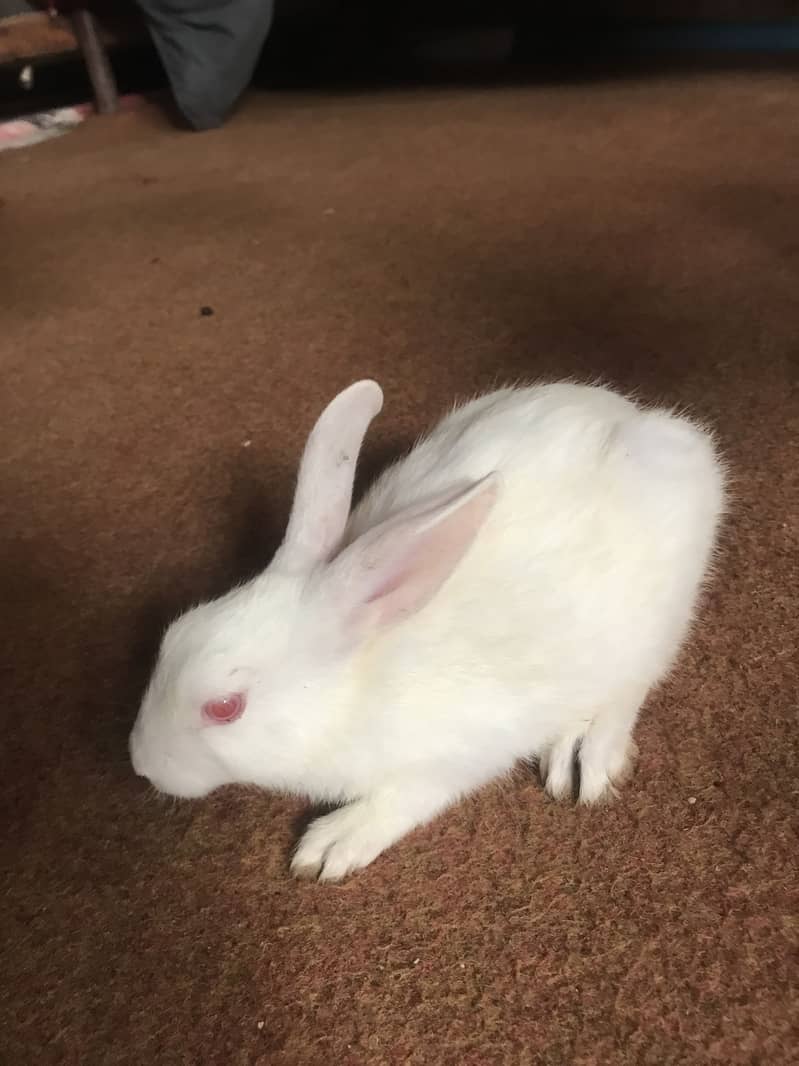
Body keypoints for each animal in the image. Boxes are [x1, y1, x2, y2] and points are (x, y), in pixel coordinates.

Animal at [129, 378, 726, 882]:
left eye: (225, 707)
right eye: (171, 635)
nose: (140, 764)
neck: (350, 692)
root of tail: (650, 425)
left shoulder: (456, 756)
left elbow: (405, 798)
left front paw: (329, 848)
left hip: (658, 619)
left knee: (631, 687)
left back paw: (584, 754)